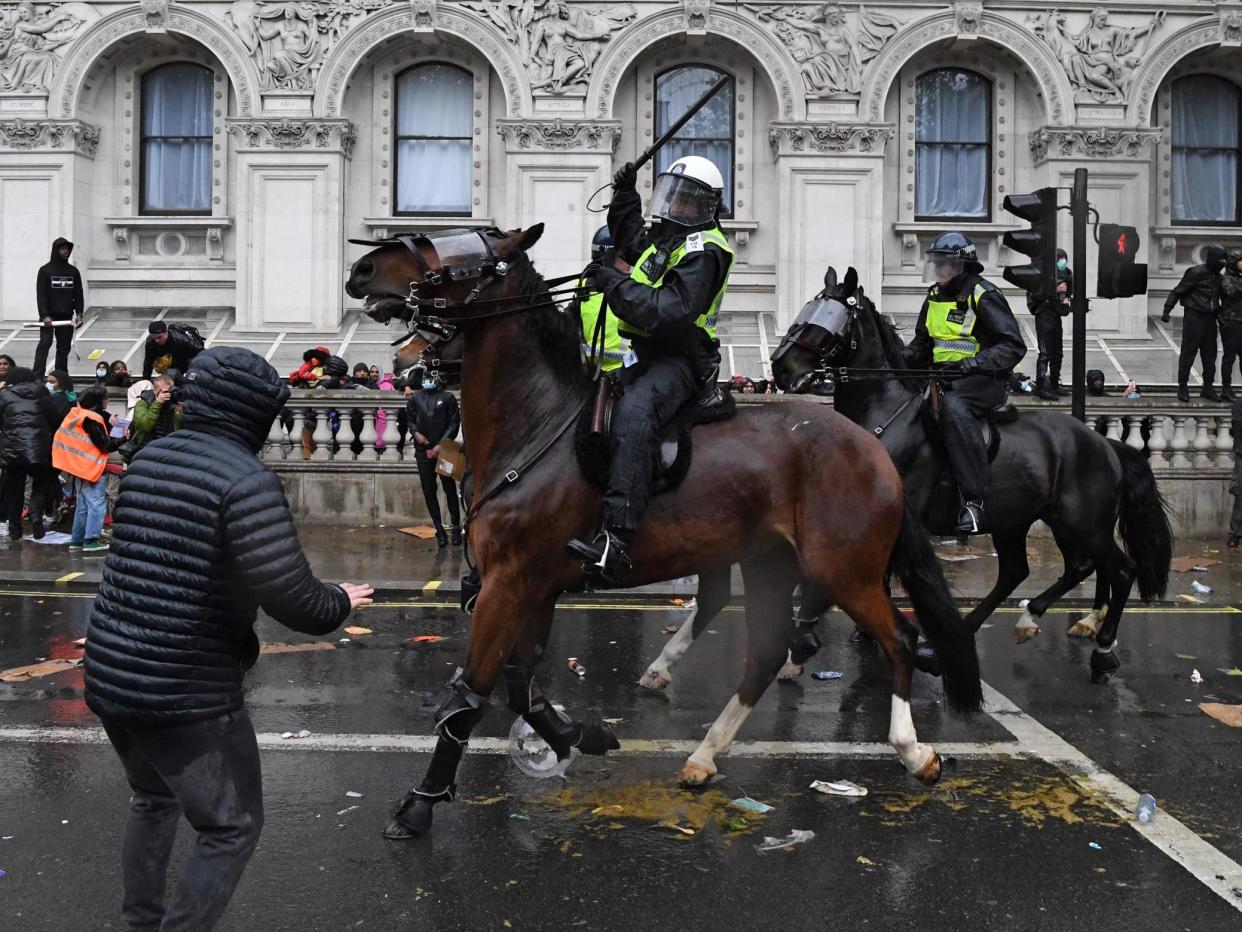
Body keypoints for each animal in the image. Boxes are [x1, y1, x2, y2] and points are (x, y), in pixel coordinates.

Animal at [347, 226, 978, 840]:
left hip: (843, 568)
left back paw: (914, 751)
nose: (363, 270)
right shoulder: (535, 586)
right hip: (769, 563)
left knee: (897, 640)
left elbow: (473, 692)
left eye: (465, 253)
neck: (537, 424)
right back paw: (705, 753)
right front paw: (577, 736)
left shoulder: (510, 582)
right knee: (766, 651)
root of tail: (872, 446)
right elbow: (521, 684)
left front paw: (421, 803)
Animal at [765, 265, 1172, 680]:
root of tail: (1104, 443)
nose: (781, 366)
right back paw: (1002, 625)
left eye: (826, 320)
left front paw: (802, 644)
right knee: (1035, 570)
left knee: (1121, 570)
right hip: (1025, 519)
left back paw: (1101, 649)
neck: (883, 416)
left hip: (1084, 523)